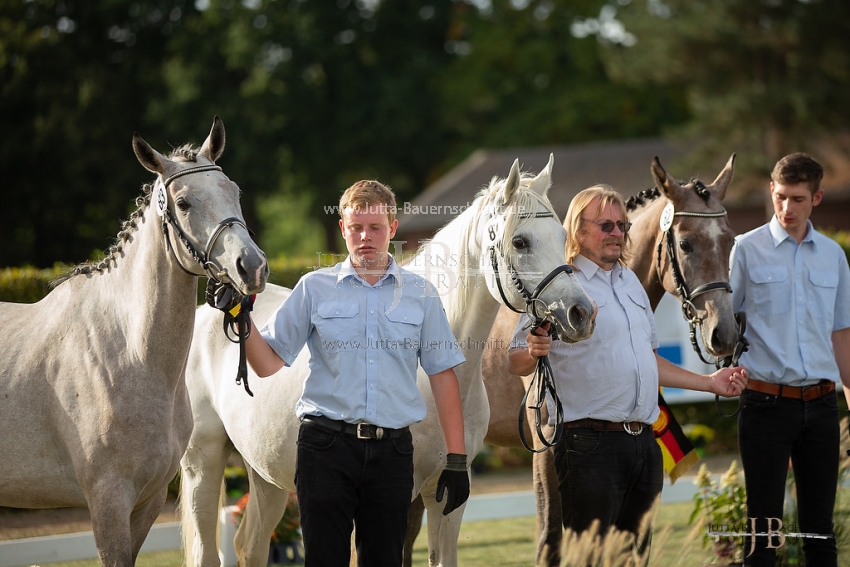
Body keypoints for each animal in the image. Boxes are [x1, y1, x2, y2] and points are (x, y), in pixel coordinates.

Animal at [0, 117, 264, 564]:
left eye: (234, 191)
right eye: (184, 203)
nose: (253, 266)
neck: (129, 351)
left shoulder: (149, 499)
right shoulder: (108, 501)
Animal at [177, 153, 596, 564]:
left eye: (563, 237)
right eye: (520, 241)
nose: (581, 313)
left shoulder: (448, 499)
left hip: (264, 472)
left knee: (249, 545)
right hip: (203, 462)